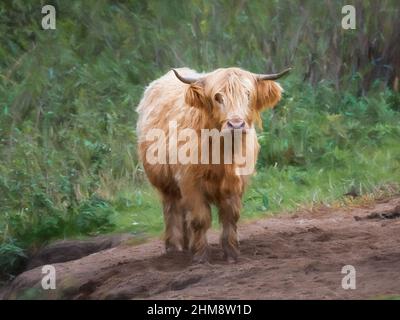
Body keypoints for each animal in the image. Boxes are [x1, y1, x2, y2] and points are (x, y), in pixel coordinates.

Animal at [136, 67, 290, 262]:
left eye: (248, 94)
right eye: (218, 97)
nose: (236, 124)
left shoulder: (236, 183)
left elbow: (230, 217)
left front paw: (231, 253)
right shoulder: (190, 182)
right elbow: (200, 219)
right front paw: (201, 257)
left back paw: (187, 245)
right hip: (166, 183)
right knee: (172, 209)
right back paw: (174, 248)